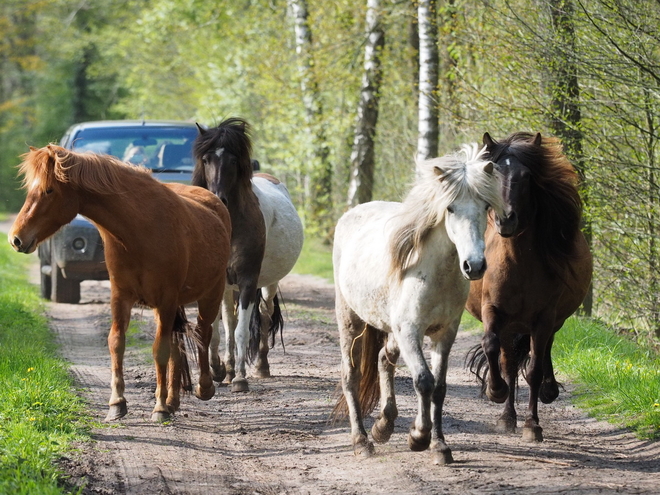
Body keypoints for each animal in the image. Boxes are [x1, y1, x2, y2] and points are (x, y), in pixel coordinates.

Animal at [7, 145, 232, 424]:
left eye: (49, 190)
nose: (16, 238)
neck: (140, 229)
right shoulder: (121, 296)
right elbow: (117, 343)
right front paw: (117, 403)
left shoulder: (167, 299)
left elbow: (159, 350)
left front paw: (158, 407)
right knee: (178, 344)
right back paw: (173, 400)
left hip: (210, 294)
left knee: (203, 331)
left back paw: (204, 386)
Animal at [191, 118, 304, 394]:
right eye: (206, 159)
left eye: (233, 160)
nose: (218, 199)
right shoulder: (215, 283)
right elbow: (216, 328)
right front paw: (218, 370)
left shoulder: (247, 282)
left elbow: (242, 331)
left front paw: (240, 379)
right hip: (227, 287)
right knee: (229, 322)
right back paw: (229, 369)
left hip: (268, 284)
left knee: (263, 315)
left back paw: (259, 368)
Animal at [332, 143, 502, 464]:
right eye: (450, 208)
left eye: (485, 206)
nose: (474, 265)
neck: (435, 274)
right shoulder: (410, 331)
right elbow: (423, 381)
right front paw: (418, 437)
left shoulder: (444, 334)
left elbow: (439, 387)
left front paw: (440, 445)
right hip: (350, 320)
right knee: (351, 375)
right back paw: (361, 441)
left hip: (391, 330)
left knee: (384, 359)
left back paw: (383, 427)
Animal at [464, 131, 592, 442]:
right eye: (492, 172)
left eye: (525, 177)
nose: (505, 220)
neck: (518, 263)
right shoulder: (493, 310)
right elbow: (491, 346)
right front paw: (495, 392)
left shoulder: (544, 318)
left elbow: (534, 368)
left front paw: (533, 425)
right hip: (511, 326)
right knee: (509, 363)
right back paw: (506, 416)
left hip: (548, 322)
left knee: (542, 353)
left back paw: (548, 390)